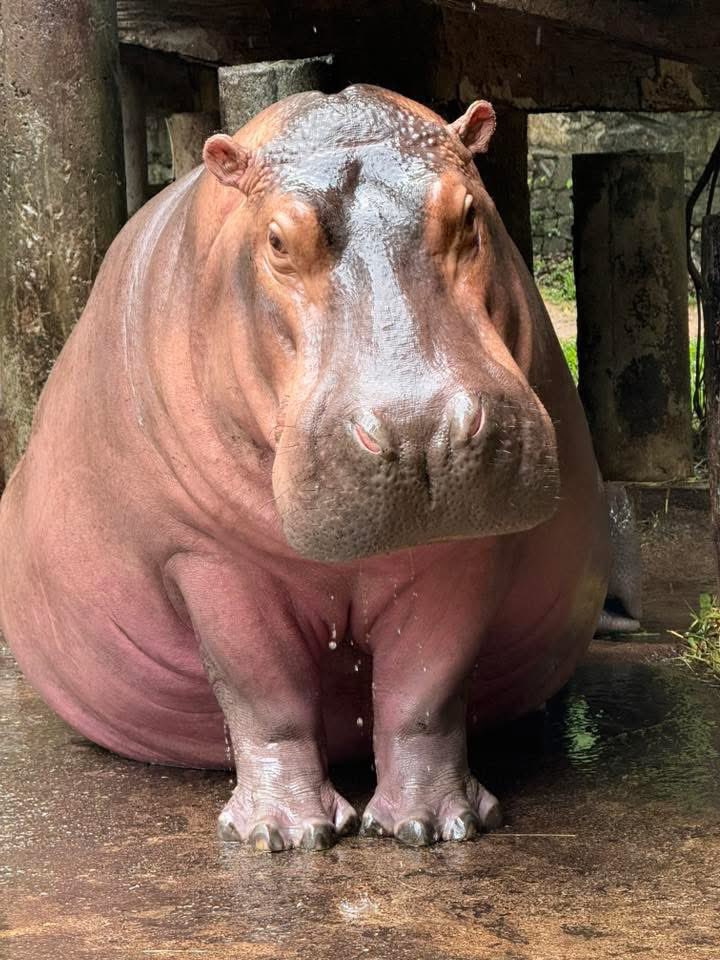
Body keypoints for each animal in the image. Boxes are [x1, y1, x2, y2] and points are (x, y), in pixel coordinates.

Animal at [0, 85, 626, 851]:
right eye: (275, 240)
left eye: (470, 212)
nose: (419, 430)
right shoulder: (205, 557)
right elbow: (262, 692)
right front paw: (282, 836)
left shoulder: (466, 550)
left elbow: (427, 686)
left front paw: (433, 826)